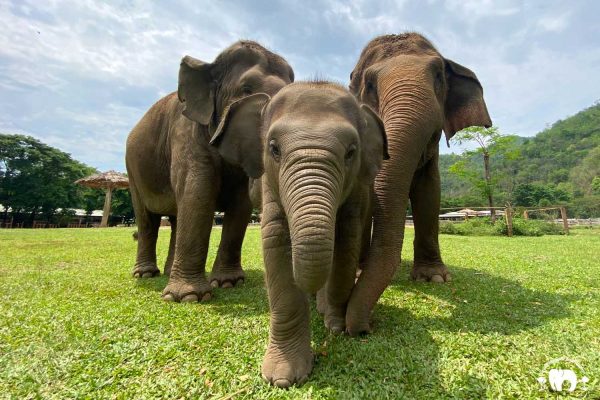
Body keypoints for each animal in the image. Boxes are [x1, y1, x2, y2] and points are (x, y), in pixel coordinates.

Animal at [125, 41, 294, 304]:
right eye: (246, 89)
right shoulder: (186, 132)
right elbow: (198, 193)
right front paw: (188, 297)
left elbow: (240, 204)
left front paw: (228, 283)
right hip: (132, 169)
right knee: (146, 219)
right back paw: (145, 274)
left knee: (176, 218)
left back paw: (168, 271)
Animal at [210, 82, 390, 388]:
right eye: (273, 148)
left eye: (351, 152)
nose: (349, 330)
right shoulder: (270, 186)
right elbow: (276, 242)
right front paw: (283, 378)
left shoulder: (356, 191)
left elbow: (346, 241)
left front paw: (335, 326)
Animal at [342, 32, 492, 334]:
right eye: (370, 84)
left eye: (438, 75)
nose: (365, 327)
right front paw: (360, 272)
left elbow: (430, 192)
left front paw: (433, 278)